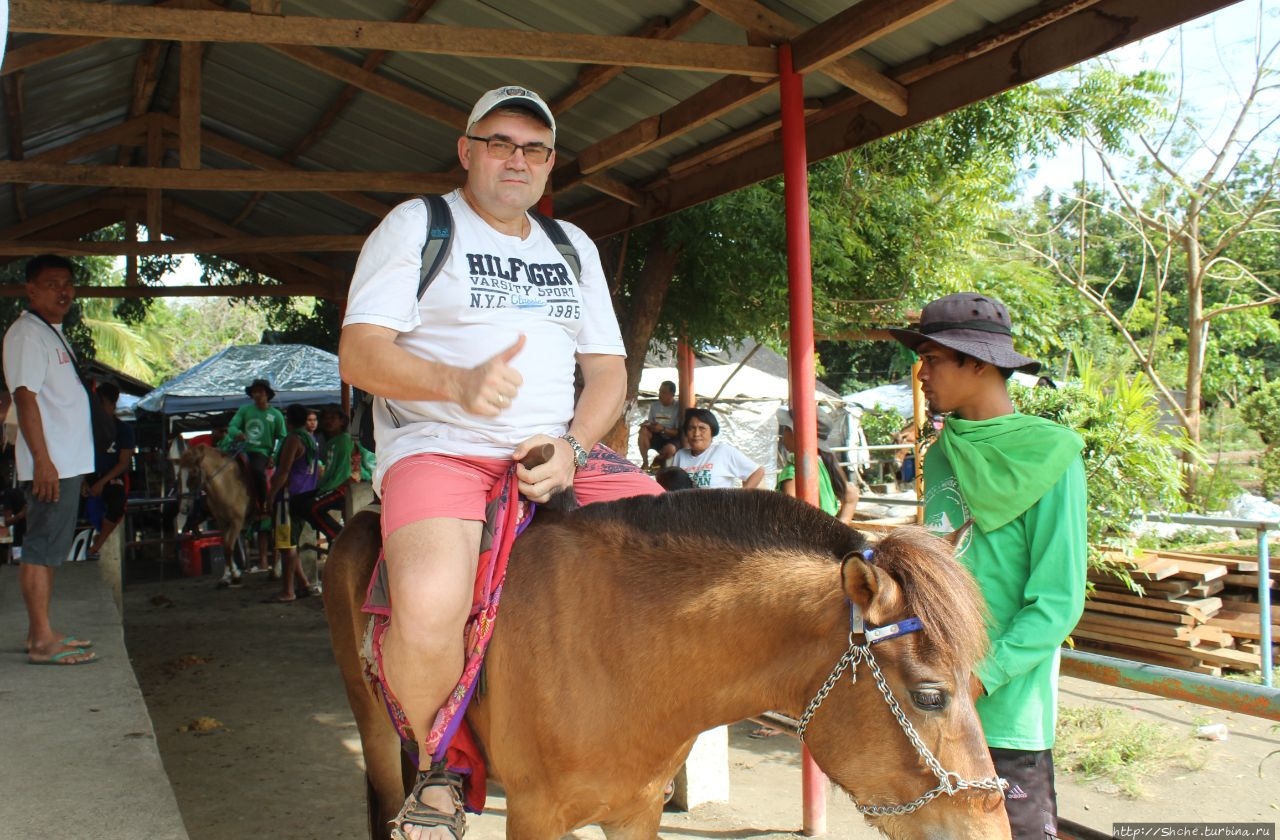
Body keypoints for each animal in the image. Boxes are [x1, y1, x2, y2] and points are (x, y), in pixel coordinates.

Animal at [322, 489, 1008, 834]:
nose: (992, 832)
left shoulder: (637, 810)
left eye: (979, 689)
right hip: (375, 730)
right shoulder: (534, 815)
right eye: (929, 696)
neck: (617, 654)